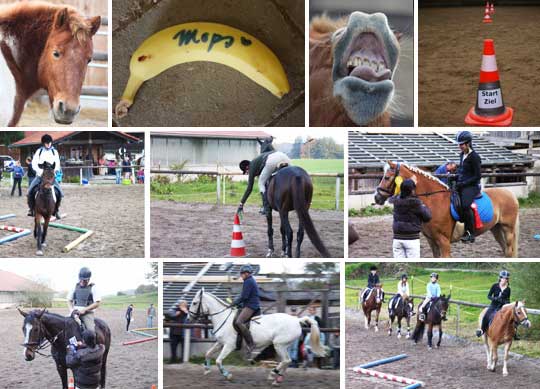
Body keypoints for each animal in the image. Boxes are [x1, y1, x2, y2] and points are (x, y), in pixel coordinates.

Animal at [188, 288, 326, 384]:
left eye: (194, 303)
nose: (189, 318)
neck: (223, 318)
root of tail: (296, 320)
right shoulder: (220, 343)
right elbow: (208, 353)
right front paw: (206, 369)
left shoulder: (228, 346)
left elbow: (218, 361)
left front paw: (228, 375)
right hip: (283, 345)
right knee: (287, 361)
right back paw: (278, 379)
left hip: (279, 345)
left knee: (286, 360)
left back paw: (273, 374)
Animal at [374, 161, 520, 258]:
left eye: (386, 177)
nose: (377, 197)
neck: (434, 200)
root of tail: (510, 193)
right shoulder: (432, 241)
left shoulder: (444, 242)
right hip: (496, 228)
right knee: (505, 250)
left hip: (508, 229)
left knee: (509, 251)